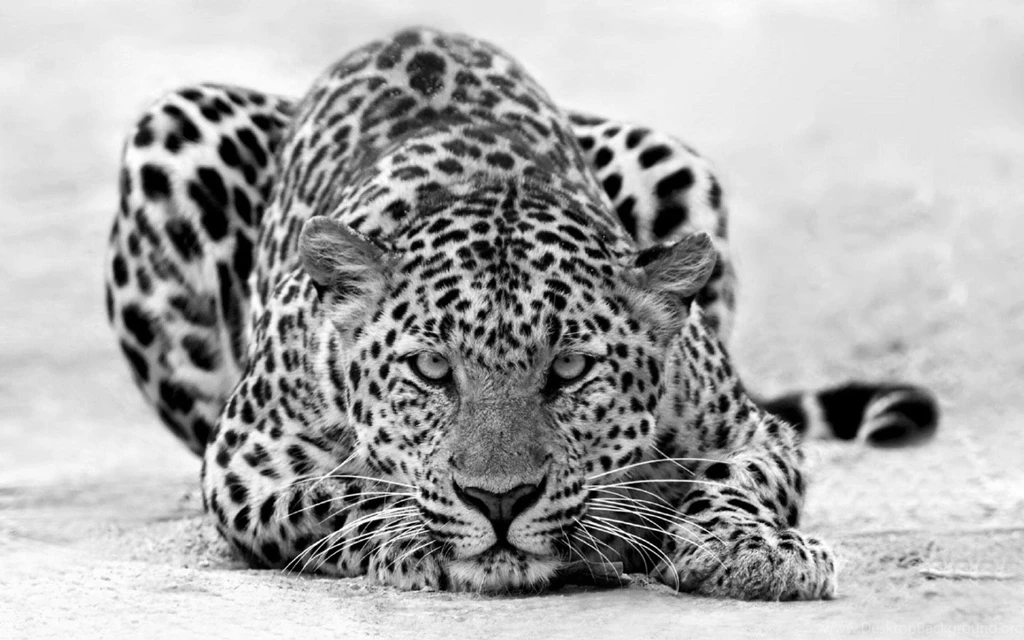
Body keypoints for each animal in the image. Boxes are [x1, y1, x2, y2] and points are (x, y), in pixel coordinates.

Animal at [104, 27, 939, 599]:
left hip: (668, 156)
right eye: (430, 369)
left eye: (569, 369)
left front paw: (752, 551)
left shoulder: (751, 430)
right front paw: (416, 536)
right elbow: (342, 491)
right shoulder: (245, 462)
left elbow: (732, 479)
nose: (499, 501)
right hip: (172, 132)